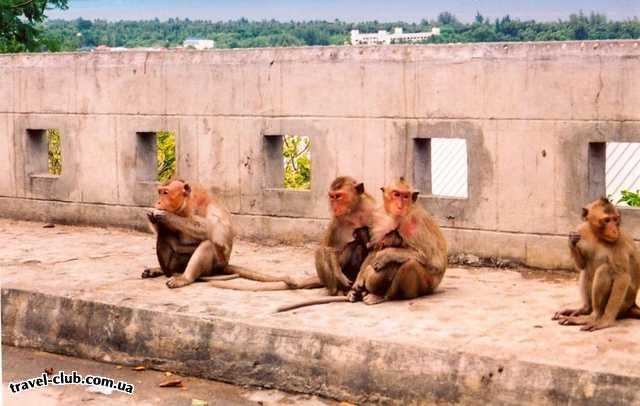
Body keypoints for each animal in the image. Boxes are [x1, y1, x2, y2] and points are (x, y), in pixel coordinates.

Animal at [142, 180, 292, 288]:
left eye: (165, 192)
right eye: (160, 192)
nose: (158, 202)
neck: (187, 206)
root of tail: (225, 265)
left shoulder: (212, 209)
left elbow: (212, 230)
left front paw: (165, 216)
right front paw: (153, 217)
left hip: (214, 266)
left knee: (208, 245)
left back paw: (185, 278)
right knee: (163, 236)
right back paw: (163, 271)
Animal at [552, 198, 640, 332]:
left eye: (615, 219)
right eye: (607, 220)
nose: (614, 230)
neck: (597, 235)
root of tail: (632, 304)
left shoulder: (618, 241)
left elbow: (622, 276)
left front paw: (606, 322)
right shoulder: (581, 229)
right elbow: (582, 265)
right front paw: (571, 241)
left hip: (625, 301)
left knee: (605, 270)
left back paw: (594, 316)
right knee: (586, 271)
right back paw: (585, 309)